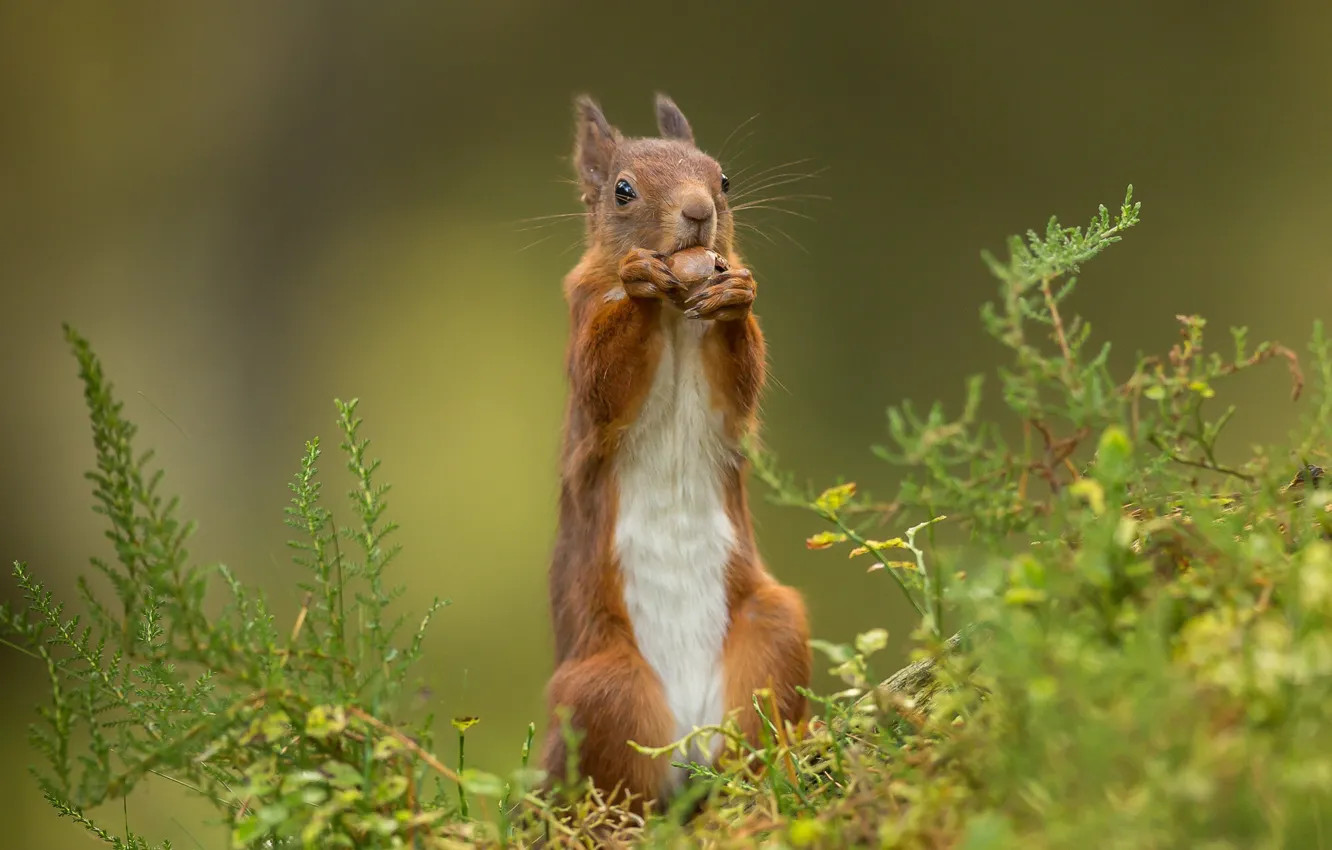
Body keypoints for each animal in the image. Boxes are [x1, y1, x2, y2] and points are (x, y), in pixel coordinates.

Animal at [538, 93, 809, 810]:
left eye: (724, 181)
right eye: (622, 189)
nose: (697, 213)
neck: (677, 312)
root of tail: (689, 743)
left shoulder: (724, 396)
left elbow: (743, 377)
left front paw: (736, 295)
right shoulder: (583, 330)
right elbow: (605, 378)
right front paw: (638, 279)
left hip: (773, 631)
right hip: (603, 688)